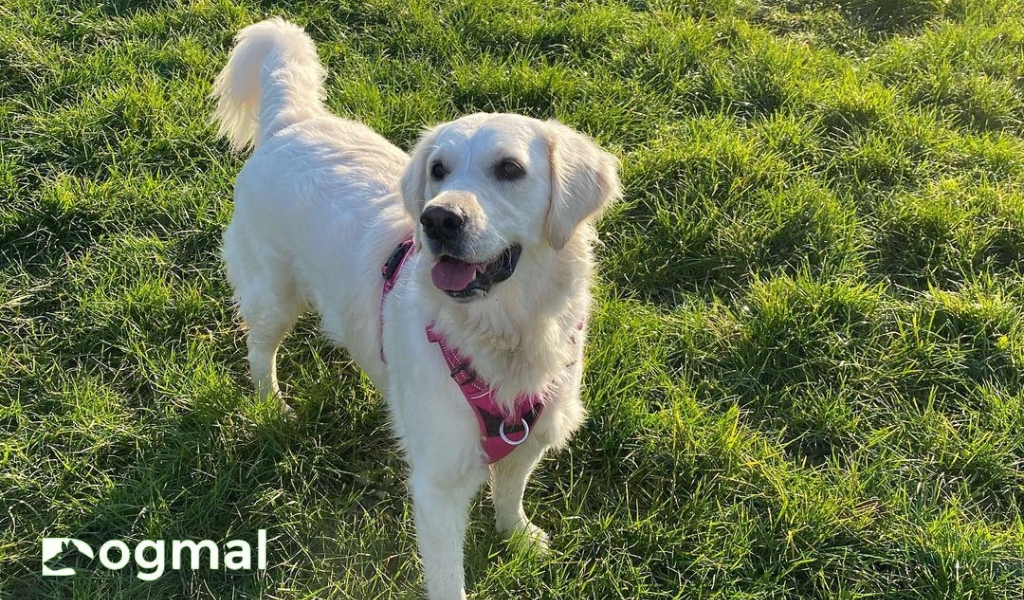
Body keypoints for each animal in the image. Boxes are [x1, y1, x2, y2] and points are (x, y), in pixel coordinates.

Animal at [211, 16, 618, 593]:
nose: (437, 219)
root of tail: (294, 122)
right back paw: (273, 406)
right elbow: (449, 578)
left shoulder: (534, 430)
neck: (505, 332)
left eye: (510, 169)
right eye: (440, 169)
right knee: (258, 350)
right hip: (275, 294)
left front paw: (516, 535)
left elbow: (510, 489)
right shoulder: (438, 483)